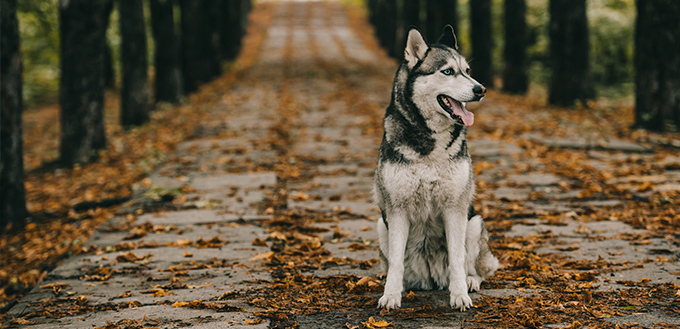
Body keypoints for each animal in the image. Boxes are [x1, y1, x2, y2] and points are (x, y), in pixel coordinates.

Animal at [372, 26, 500, 310]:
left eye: (468, 70)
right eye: (448, 72)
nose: (481, 89)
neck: (430, 147)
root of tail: (430, 278)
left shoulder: (455, 208)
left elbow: (457, 258)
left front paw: (460, 294)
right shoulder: (396, 209)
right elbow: (395, 262)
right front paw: (391, 295)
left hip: (474, 223)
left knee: (476, 267)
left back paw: (471, 280)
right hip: (381, 225)